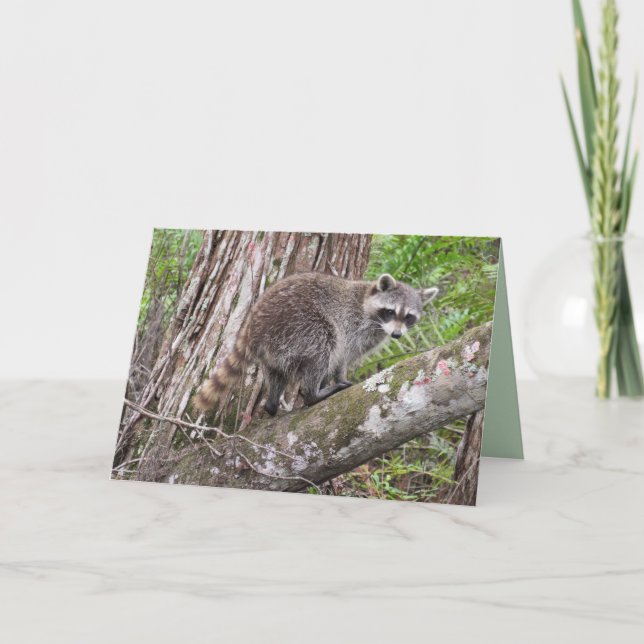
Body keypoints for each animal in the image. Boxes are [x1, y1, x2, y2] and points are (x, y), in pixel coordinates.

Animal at [194, 272, 438, 416]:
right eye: (390, 312)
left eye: (409, 317)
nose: (396, 335)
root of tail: (254, 324)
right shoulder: (352, 324)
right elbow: (341, 356)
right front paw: (338, 377)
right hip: (298, 324)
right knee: (324, 344)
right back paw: (313, 393)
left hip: (274, 347)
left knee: (276, 374)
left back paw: (272, 404)